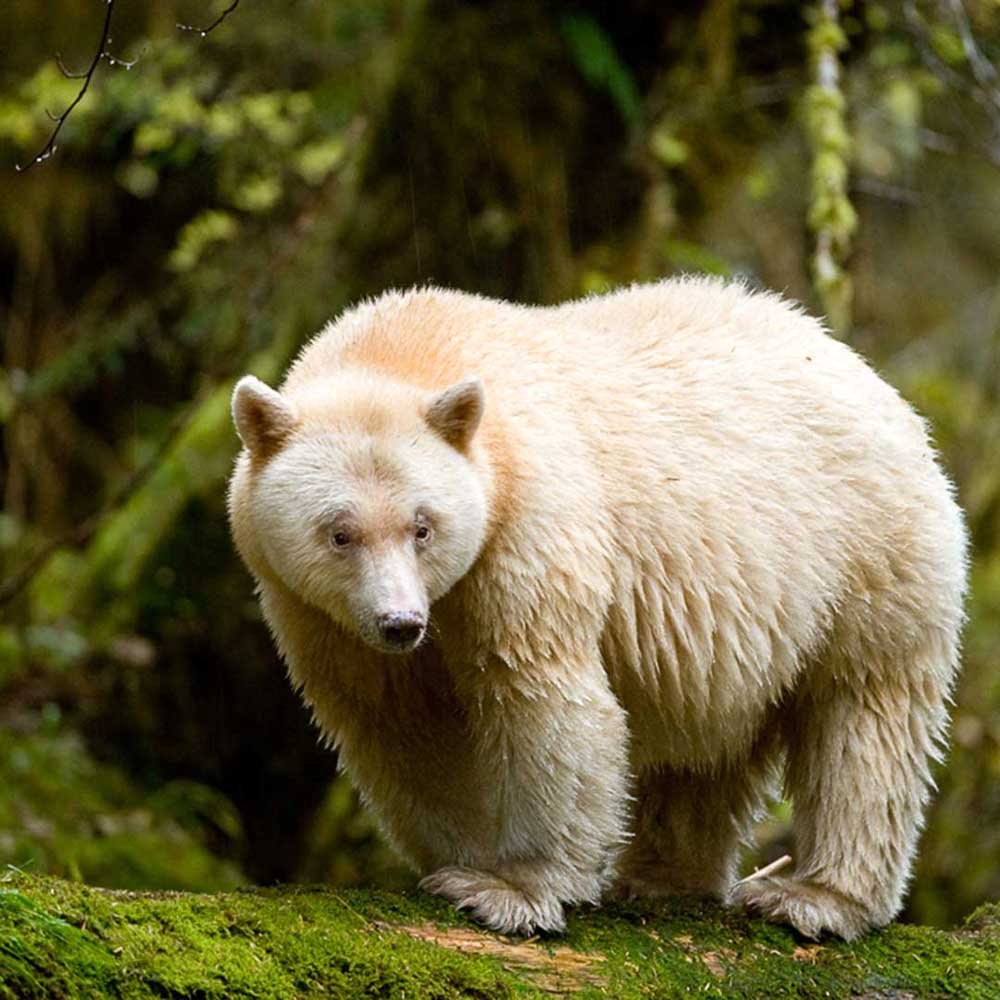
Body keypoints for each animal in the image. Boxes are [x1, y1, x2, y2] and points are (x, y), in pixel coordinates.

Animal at [229, 280, 968, 936]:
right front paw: (461, 857)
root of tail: (873, 379)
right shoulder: (314, 610)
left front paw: (508, 889)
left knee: (864, 714)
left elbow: (542, 694)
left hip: (865, 554)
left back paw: (814, 897)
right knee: (702, 752)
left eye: (423, 526)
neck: (412, 346)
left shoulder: (529, 528)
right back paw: (662, 877)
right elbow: (400, 721)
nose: (400, 623)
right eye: (339, 533)